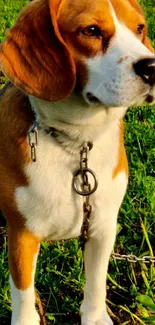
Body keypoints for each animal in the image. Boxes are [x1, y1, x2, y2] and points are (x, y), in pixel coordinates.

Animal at [0, 0, 155, 324]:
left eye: (139, 28)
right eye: (91, 30)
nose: (153, 68)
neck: (75, 144)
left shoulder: (103, 225)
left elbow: (96, 284)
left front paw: (95, 316)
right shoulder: (22, 235)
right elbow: (24, 296)